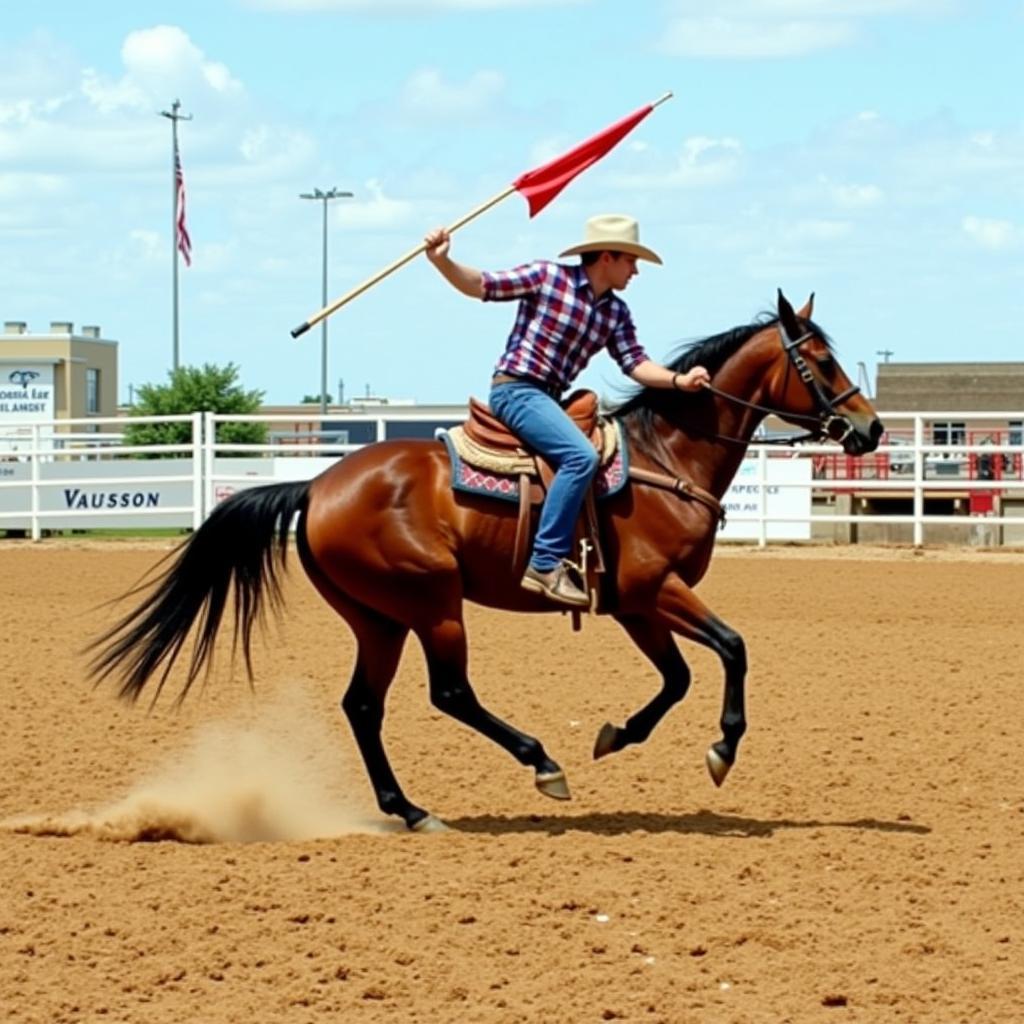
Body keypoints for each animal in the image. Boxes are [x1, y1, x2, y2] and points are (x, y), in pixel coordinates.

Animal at [92, 288, 884, 831]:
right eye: (819, 360)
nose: (870, 428)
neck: (664, 457)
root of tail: (315, 486)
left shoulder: (633, 604)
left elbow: (680, 677)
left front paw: (617, 735)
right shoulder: (655, 589)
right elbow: (732, 647)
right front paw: (721, 750)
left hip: (378, 617)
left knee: (364, 706)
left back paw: (411, 809)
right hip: (432, 602)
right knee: (450, 693)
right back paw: (541, 765)